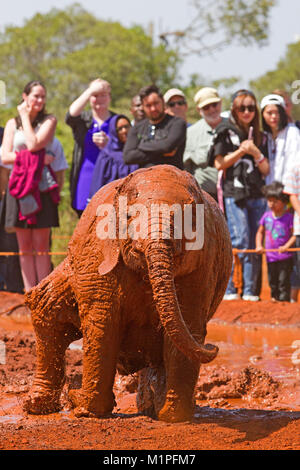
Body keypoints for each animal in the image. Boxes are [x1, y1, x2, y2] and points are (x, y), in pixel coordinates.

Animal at [24, 165, 233, 422]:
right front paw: (87, 410)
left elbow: (188, 325)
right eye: (129, 217)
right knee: (47, 308)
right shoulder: (98, 252)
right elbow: (102, 323)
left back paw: (149, 407)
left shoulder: (204, 261)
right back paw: (38, 406)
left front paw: (174, 416)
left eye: (188, 221)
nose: (214, 348)